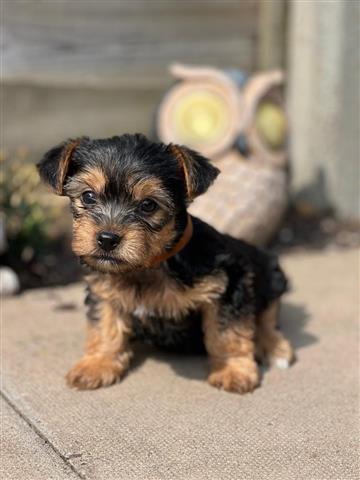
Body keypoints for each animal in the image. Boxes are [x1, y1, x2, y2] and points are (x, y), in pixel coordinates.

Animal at [38, 133, 294, 392]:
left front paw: (232, 370)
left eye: (148, 205)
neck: (149, 265)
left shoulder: (231, 282)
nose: (107, 239)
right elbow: (104, 325)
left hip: (270, 275)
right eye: (88, 196)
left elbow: (227, 332)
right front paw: (97, 364)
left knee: (267, 316)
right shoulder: (103, 291)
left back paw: (274, 347)